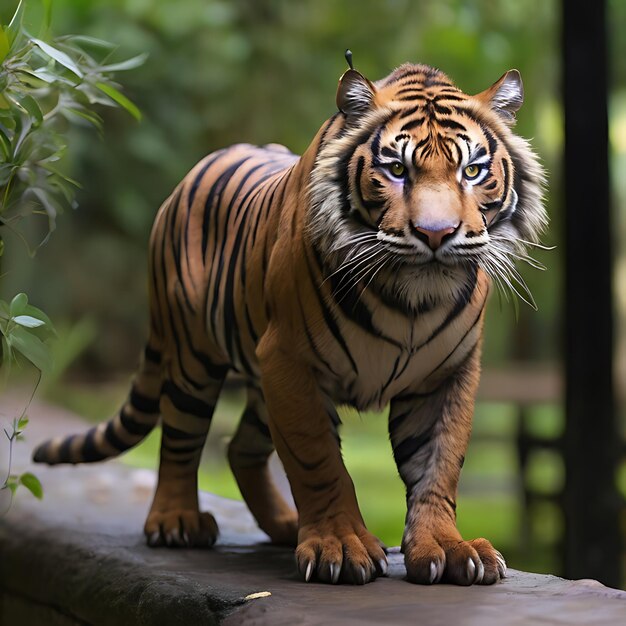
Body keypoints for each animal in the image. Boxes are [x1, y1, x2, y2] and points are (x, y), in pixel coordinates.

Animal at [33, 54, 544, 584]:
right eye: (397, 170)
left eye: (473, 171)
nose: (437, 234)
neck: (412, 302)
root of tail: (186, 181)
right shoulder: (290, 361)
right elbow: (317, 458)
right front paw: (340, 545)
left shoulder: (447, 375)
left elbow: (438, 465)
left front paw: (447, 546)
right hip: (193, 358)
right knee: (180, 439)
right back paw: (176, 521)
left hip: (260, 386)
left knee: (240, 447)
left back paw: (282, 524)